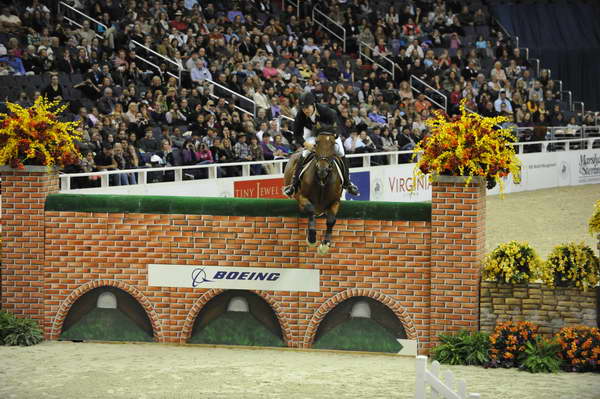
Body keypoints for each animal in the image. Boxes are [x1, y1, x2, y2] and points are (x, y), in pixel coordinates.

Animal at [282, 127, 342, 256]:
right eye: (317, 143)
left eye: (332, 144)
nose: (322, 169)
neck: (322, 180)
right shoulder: (302, 197)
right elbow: (310, 210)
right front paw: (311, 238)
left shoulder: (335, 201)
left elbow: (331, 220)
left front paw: (325, 245)